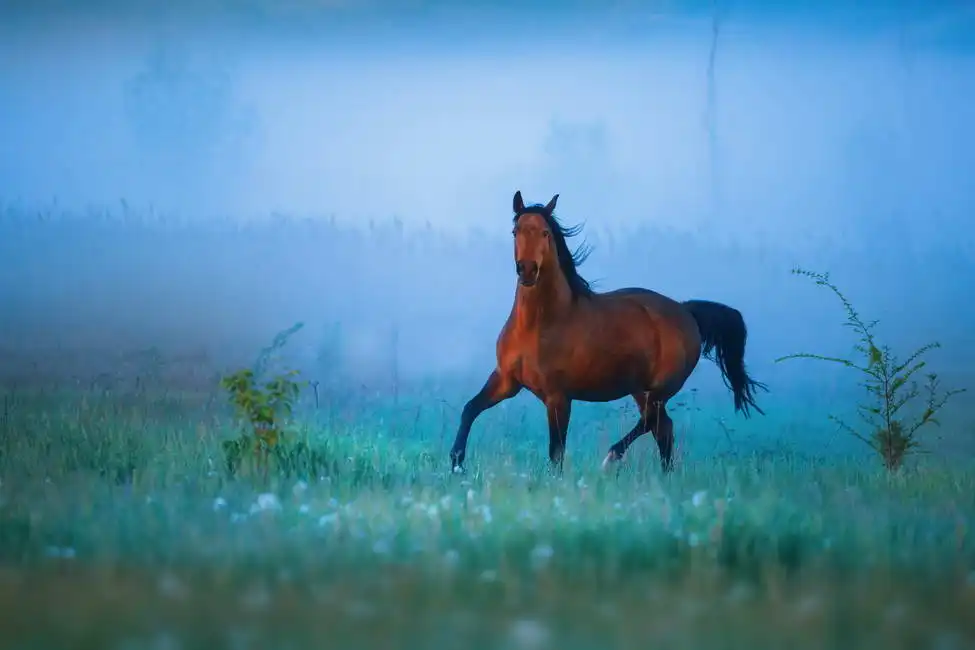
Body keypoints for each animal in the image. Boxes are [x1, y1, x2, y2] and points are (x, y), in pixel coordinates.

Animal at [448, 191, 767, 475]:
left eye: (545, 233)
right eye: (516, 231)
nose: (527, 270)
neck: (539, 325)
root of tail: (685, 311)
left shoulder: (558, 397)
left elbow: (556, 452)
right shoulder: (506, 381)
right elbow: (469, 409)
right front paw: (456, 463)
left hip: (661, 388)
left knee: (652, 422)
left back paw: (613, 457)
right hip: (641, 389)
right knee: (663, 428)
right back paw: (665, 477)